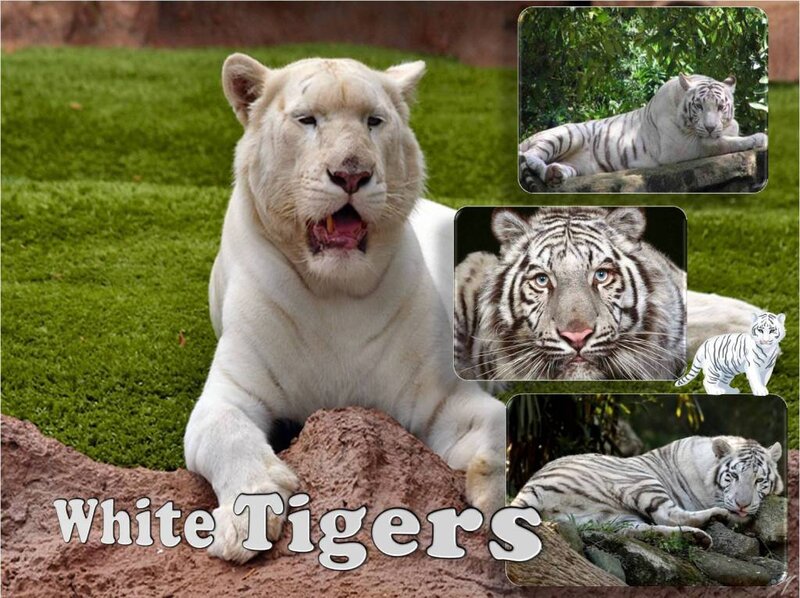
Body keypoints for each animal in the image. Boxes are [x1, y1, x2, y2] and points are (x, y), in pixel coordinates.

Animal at [510, 436, 784, 548]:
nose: (742, 505)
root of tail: (529, 485)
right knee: (669, 515)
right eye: (734, 476)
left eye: (759, 480)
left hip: (607, 518)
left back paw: (695, 538)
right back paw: (716, 517)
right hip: (640, 480)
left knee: (638, 531)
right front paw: (735, 516)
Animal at [520, 74, 768, 187]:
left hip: (576, 165)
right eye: (698, 106)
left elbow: (728, 135)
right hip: (568, 134)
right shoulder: (682, 148)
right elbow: (722, 143)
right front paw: (758, 137)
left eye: (720, 107)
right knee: (529, 154)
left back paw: (555, 174)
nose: (709, 127)